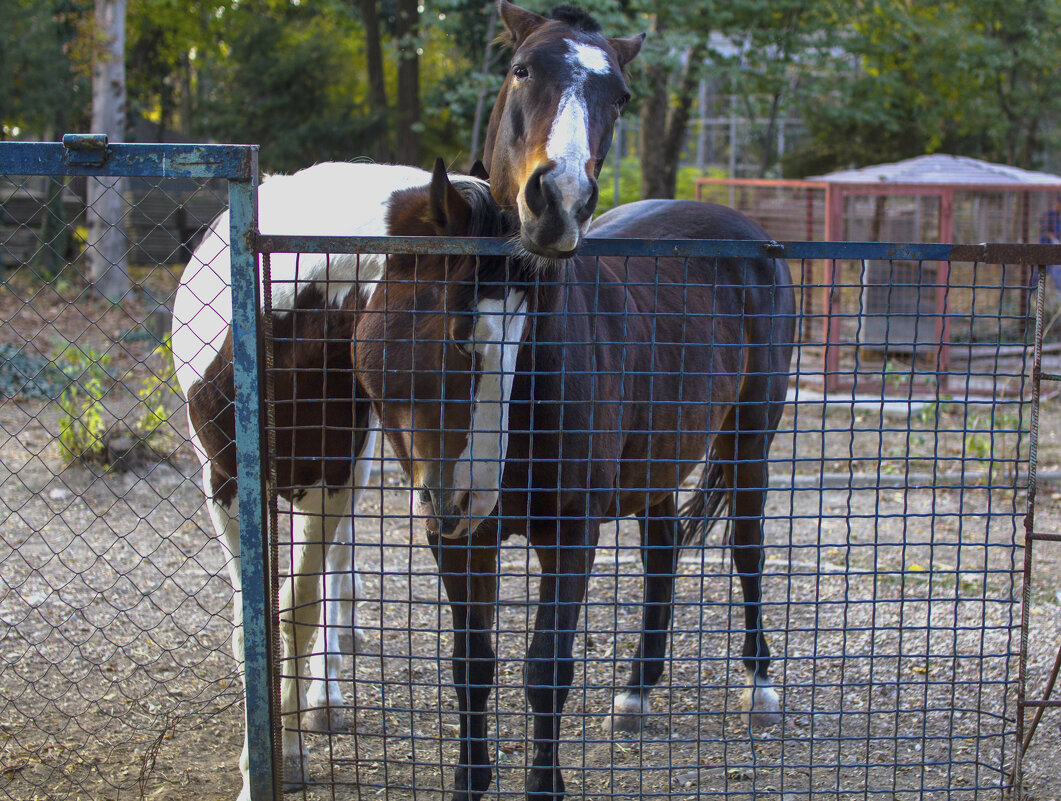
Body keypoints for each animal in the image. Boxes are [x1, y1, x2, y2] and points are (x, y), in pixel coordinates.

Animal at [356, 164, 797, 801]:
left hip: (750, 438)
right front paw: (471, 780)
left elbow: (546, 670)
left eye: (522, 338)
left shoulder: (569, 535)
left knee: (747, 548)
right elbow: (472, 665)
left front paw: (545, 785)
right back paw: (636, 692)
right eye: (462, 336)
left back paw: (759, 686)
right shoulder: (459, 541)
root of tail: (751, 234)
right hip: (656, 465)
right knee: (661, 555)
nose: (471, 495)